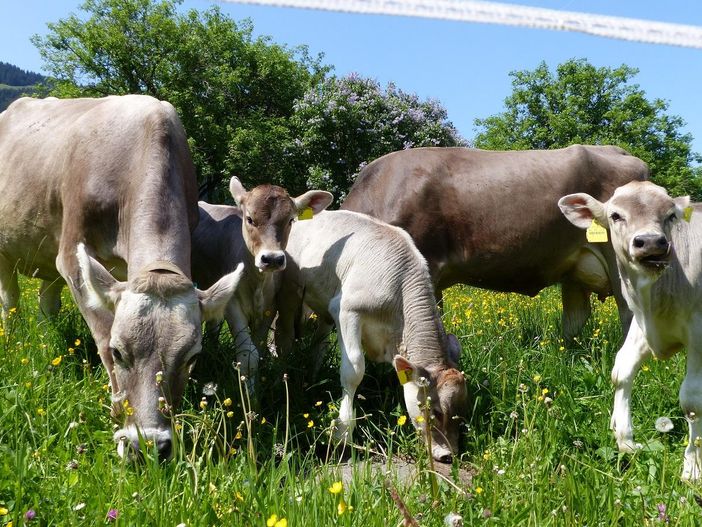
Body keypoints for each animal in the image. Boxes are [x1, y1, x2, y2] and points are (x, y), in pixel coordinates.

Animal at [0, 97, 245, 460]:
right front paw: (117, 412)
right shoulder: (72, 254)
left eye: (193, 357)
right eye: (118, 353)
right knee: (11, 301)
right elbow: (101, 334)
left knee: (47, 302)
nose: (149, 446)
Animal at [278, 210, 470, 462]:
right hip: (289, 297)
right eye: (436, 411)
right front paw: (343, 433)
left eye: (462, 413)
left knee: (318, 344)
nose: (449, 455)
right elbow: (354, 370)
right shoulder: (346, 310)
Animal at [560, 183, 702, 482]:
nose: (651, 242)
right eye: (615, 215)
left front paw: (693, 466)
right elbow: (621, 370)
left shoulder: (698, 332)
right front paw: (624, 437)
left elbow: (693, 400)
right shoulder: (640, 324)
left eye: (671, 215)